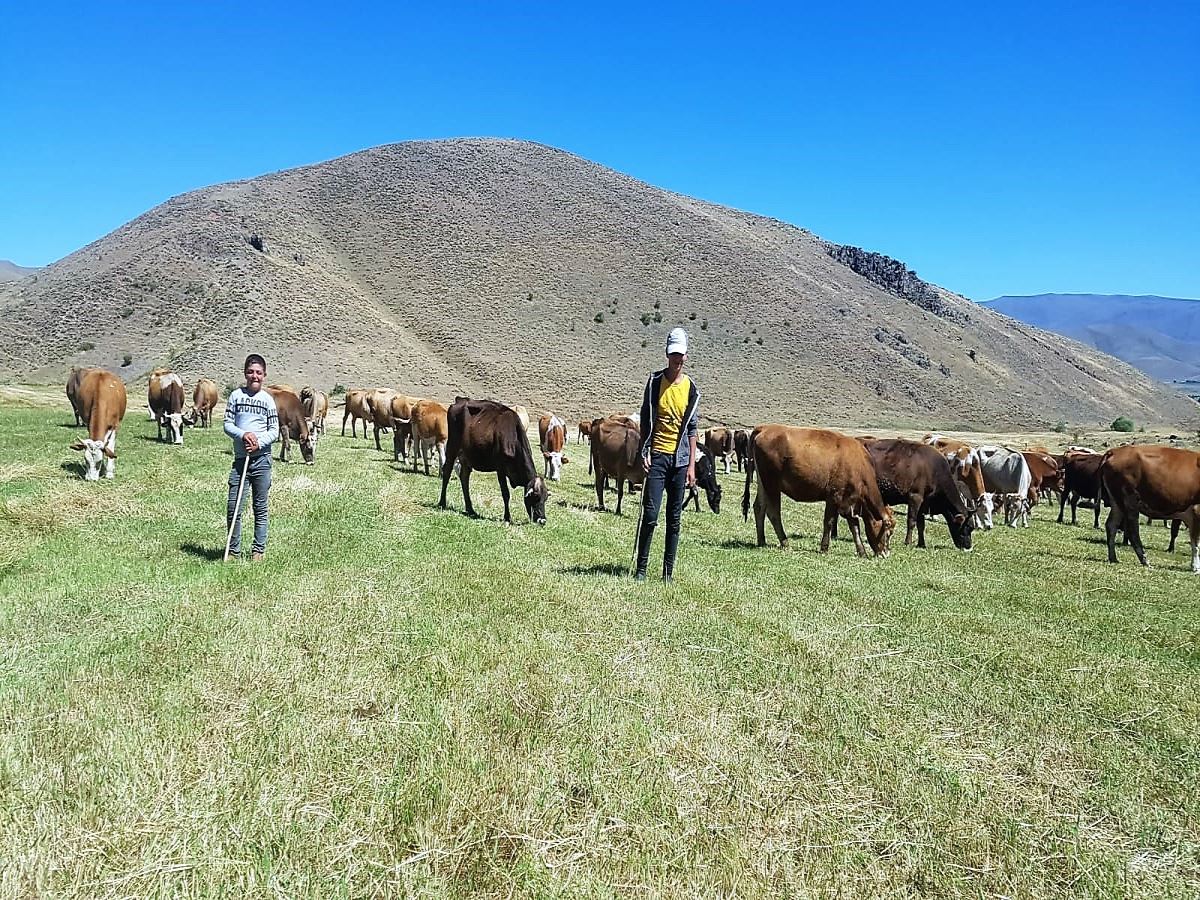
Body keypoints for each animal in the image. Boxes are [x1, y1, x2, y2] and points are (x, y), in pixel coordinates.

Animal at [744, 422, 897, 556]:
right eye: (888, 532)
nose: (885, 554)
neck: (859, 465)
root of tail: (765, 428)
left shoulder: (848, 503)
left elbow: (854, 527)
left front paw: (862, 551)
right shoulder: (834, 497)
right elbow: (829, 522)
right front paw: (824, 548)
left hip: (763, 484)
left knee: (759, 508)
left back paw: (762, 541)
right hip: (772, 485)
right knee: (773, 512)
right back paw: (785, 542)